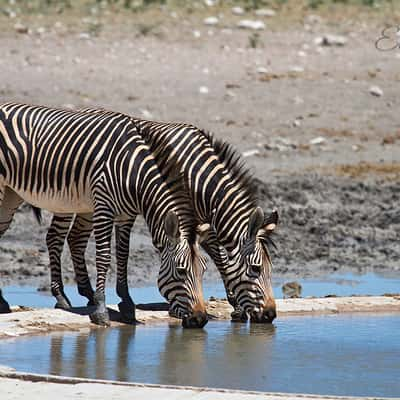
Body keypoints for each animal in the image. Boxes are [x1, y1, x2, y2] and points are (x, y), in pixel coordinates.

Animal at [0, 103, 208, 328]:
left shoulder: (127, 215)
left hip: (12, 194)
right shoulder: (103, 208)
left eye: (204, 270)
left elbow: (123, 254)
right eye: (181, 271)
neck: (133, 171)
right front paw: (100, 309)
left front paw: (127, 303)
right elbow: (104, 256)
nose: (200, 319)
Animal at [44, 114, 278, 324]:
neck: (197, 176)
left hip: (86, 205)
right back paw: (62, 298)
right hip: (67, 199)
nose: (270, 315)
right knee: (55, 236)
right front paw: (232, 304)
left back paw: (87, 292)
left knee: (75, 237)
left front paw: (234, 304)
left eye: (271, 270)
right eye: (256, 268)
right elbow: (216, 255)